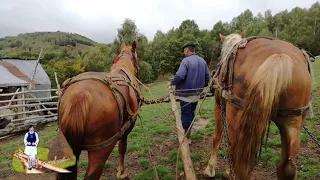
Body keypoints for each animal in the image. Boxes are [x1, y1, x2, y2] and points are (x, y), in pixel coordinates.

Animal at [204, 33, 314, 179]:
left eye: (221, 51)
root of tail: (280, 56)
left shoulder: (218, 106)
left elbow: (217, 137)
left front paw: (210, 170)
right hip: (293, 121)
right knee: (288, 168)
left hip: (237, 115)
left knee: (235, 154)